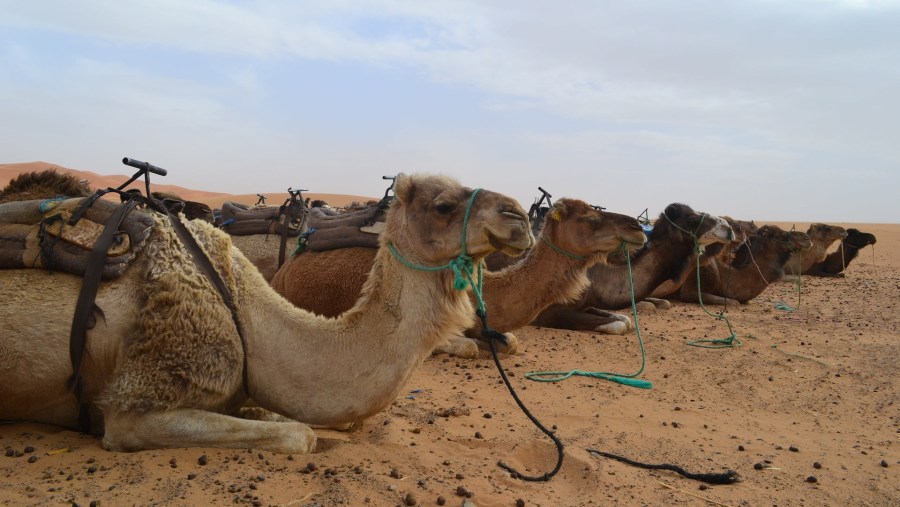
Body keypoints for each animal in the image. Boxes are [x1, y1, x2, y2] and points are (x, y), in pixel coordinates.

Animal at [532, 202, 736, 334]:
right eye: (692, 219)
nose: (728, 228)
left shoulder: (588, 303)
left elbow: (624, 319)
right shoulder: (549, 312)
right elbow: (619, 325)